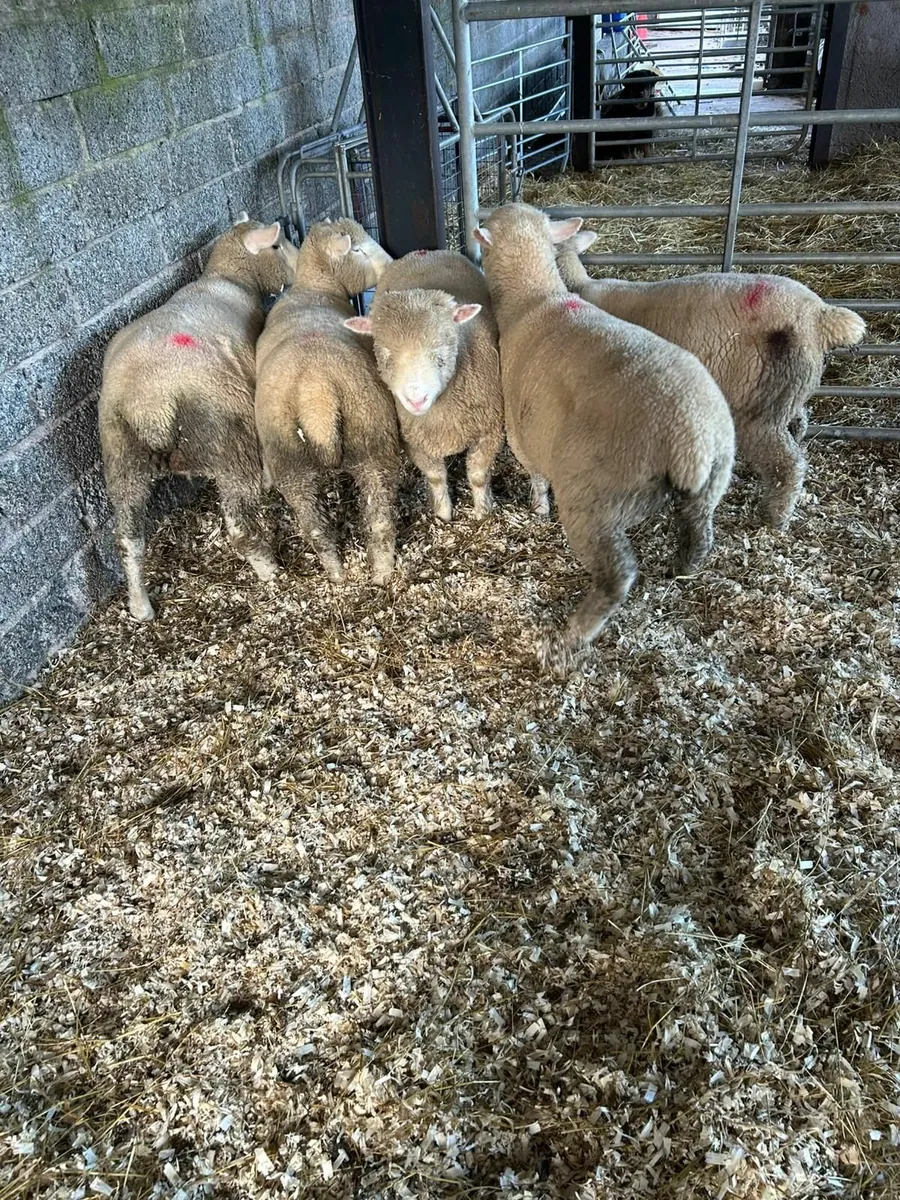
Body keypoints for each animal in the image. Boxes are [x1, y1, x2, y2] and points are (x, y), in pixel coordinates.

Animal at [99, 215, 293, 621]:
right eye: (277, 245)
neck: (229, 278)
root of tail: (150, 406)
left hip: (122, 458)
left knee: (127, 539)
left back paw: (140, 606)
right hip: (226, 436)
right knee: (237, 524)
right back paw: (268, 568)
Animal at [254, 218, 400, 585]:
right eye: (358, 249)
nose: (392, 265)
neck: (315, 287)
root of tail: (317, 396)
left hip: (293, 459)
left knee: (319, 527)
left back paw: (340, 573)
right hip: (369, 437)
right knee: (378, 519)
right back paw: (376, 573)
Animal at [342, 249, 504, 522]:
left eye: (442, 348)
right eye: (384, 353)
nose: (416, 400)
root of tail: (427, 251)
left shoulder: (490, 430)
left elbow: (478, 476)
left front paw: (483, 514)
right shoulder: (415, 442)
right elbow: (436, 478)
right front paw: (443, 515)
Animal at [473, 202, 735, 675]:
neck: (533, 298)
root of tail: (690, 437)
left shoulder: (522, 436)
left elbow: (536, 477)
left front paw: (538, 510)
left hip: (595, 498)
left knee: (618, 576)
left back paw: (570, 636)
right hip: (712, 482)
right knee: (700, 535)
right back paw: (682, 569)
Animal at [556, 230, 867, 528]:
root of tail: (821, 317)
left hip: (757, 403)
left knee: (788, 463)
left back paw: (774, 516)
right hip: (789, 389)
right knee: (798, 425)